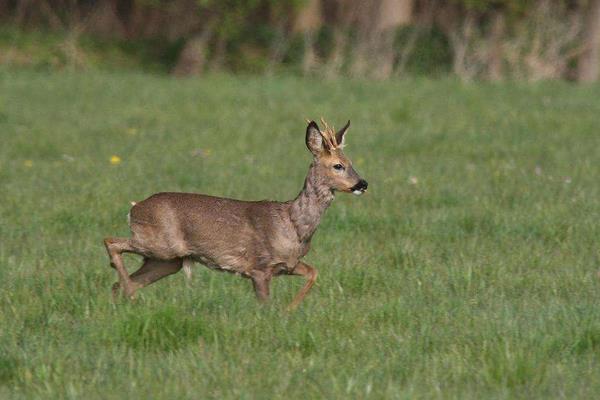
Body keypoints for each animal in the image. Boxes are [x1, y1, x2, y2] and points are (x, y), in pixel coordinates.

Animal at [103, 119, 368, 310]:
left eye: (351, 162)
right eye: (338, 165)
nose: (362, 184)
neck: (293, 225)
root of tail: (134, 208)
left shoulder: (288, 265)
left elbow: (314, 272)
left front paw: (290, 310)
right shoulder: (259, 268)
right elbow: (266, 306)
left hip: (168, 260)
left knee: (120, 282)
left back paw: (122, 297)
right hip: (160, 246)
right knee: (111, 241)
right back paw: (128, 293)